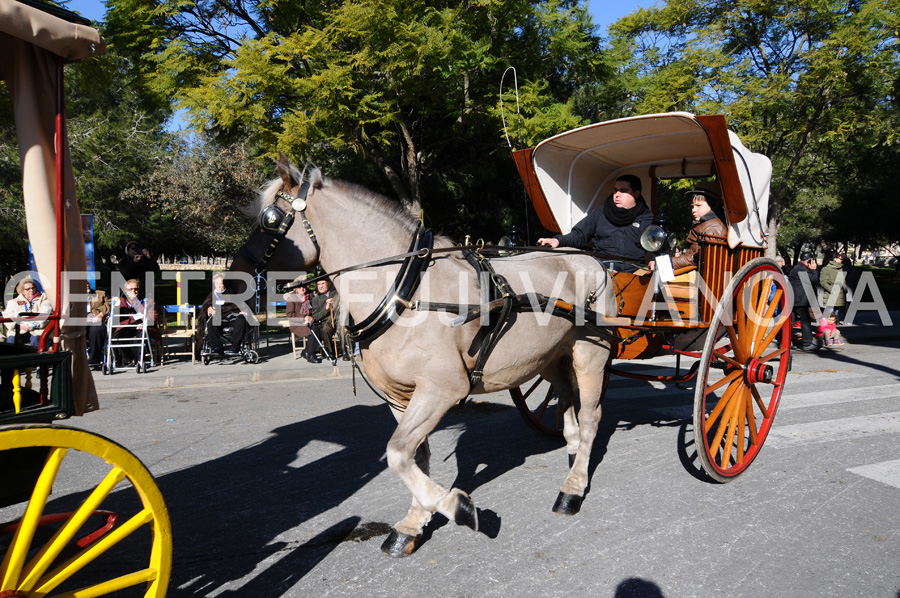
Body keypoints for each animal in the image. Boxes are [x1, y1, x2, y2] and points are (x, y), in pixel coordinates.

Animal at [234, 154, 620, 556]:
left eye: (270, 219)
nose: (234, 278)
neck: (405, 290)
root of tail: (592, 260)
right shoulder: (399, 396)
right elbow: (415, 456)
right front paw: (413, 523)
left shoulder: (441, 389)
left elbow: (397, 453)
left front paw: (457, 506)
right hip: (550, 357)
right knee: (568, 404)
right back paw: (574, 457)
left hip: (590, 352)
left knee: (591, 415)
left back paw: (573, 488)